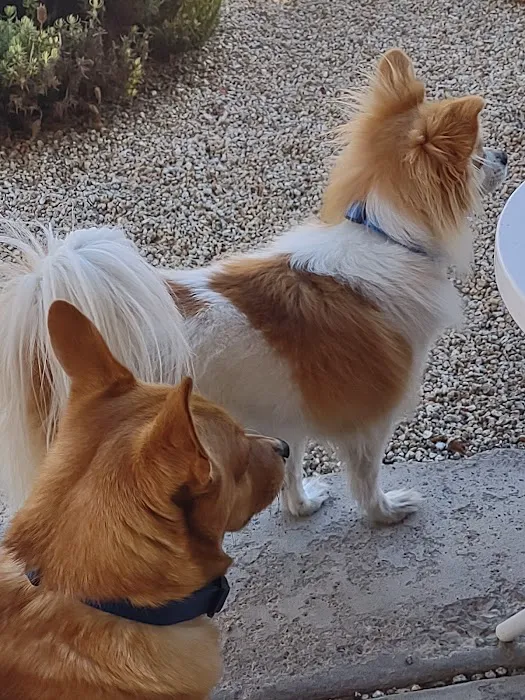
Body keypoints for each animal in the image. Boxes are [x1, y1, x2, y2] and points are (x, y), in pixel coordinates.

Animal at [0, 49, 507, 524]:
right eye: (477, 154)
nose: (504, 155)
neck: (381, 232)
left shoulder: (285, 416)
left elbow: (290, 468)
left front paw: (303, 506)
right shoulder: (369, 422)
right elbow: (366, 477)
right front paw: (385, 513)